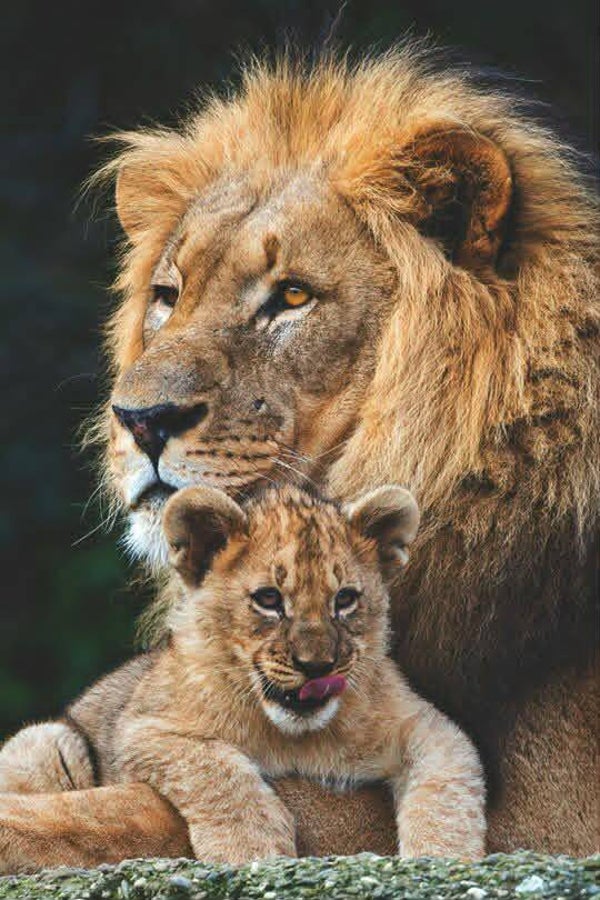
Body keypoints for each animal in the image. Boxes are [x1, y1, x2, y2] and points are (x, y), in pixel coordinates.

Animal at [0, 484, 486, 862]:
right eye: (269, 599)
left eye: (345, 599)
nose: (317, 666)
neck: (297, 738)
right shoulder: (142, 729)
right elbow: (215, 766)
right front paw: (252, 848)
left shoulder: (425, 726)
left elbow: (448, 791)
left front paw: (445, 860)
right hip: (51, 741)